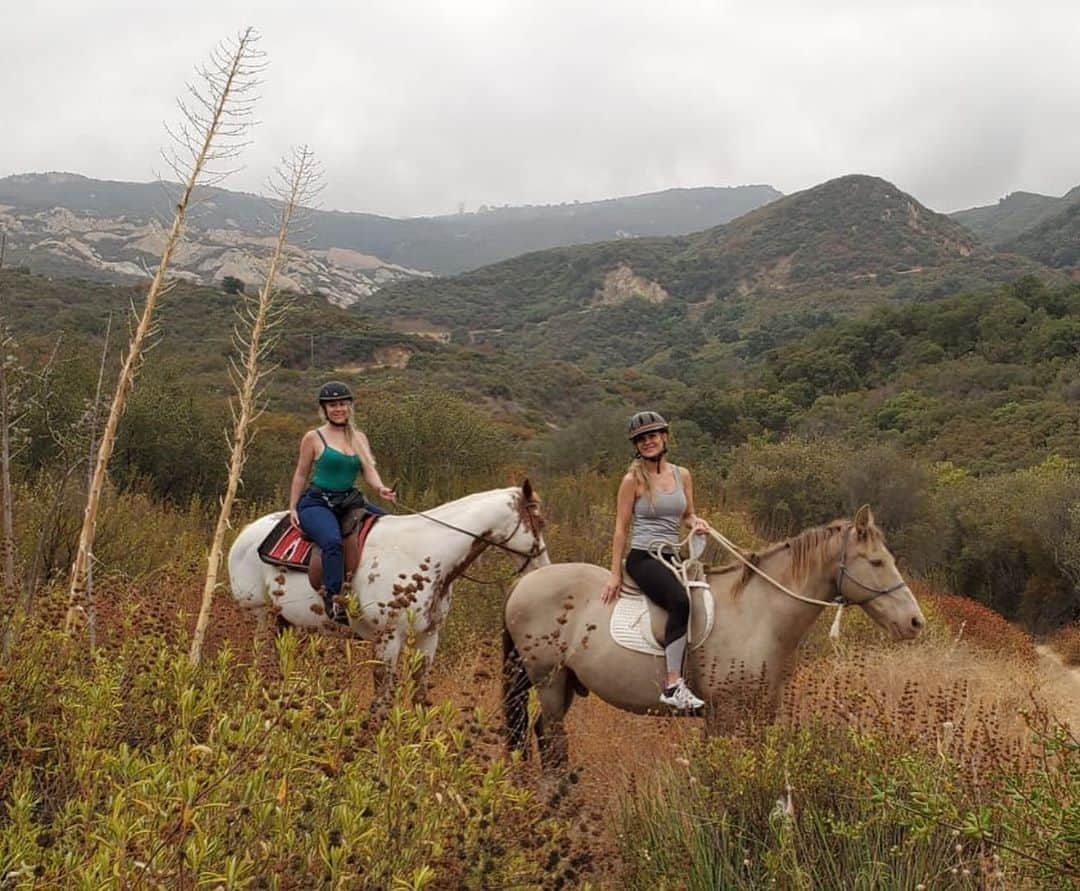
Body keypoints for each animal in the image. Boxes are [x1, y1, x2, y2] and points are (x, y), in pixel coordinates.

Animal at [501, 503, 924, 768]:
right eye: (876, 562)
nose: (915, 622)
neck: (759, 614)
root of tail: (523, 584)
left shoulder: (758, 718)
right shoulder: (723, 716)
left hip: (565, 684)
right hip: (549, 681)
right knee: (551, 739)